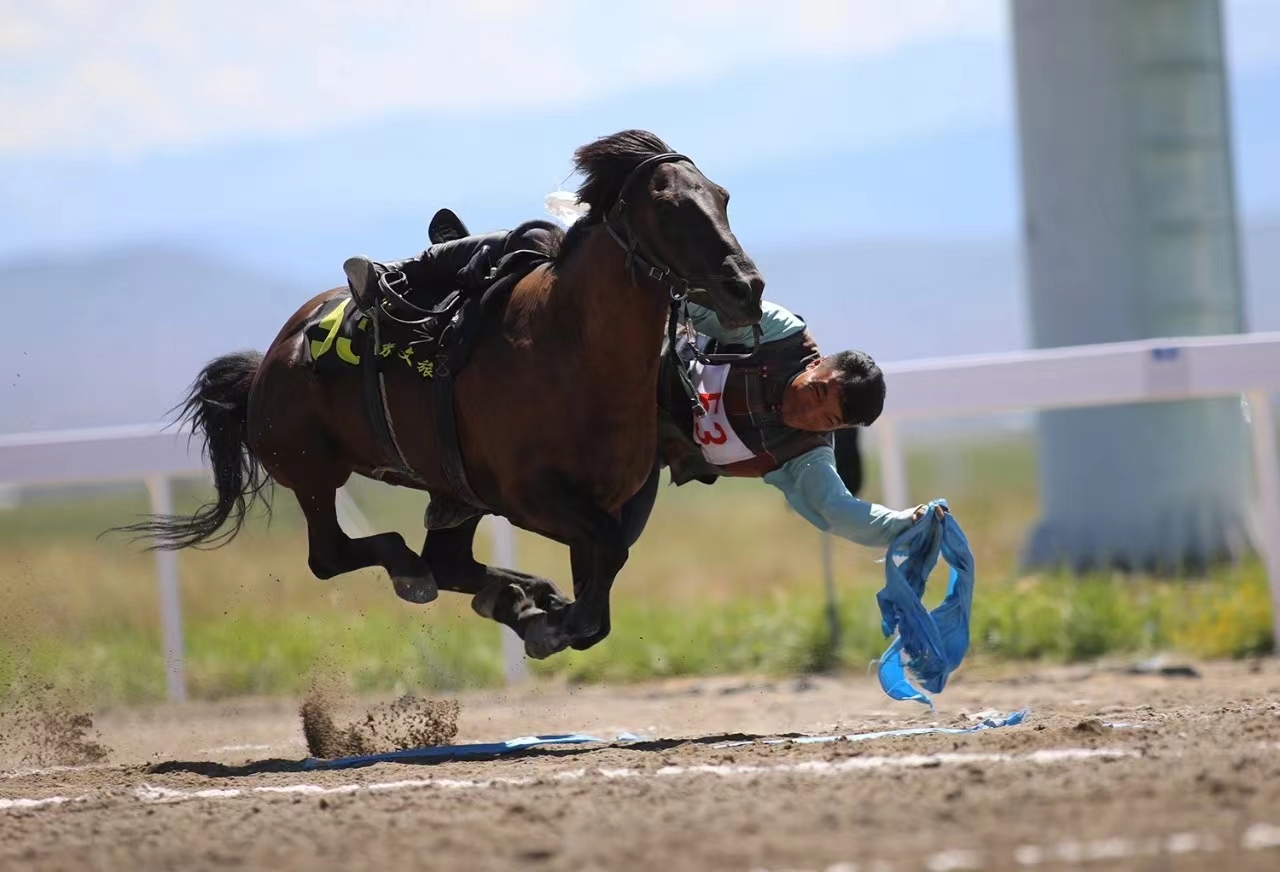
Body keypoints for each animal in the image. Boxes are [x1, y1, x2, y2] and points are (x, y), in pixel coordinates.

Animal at [110, 129, 757, 660]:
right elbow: (598, 576)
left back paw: (508, 593)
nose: (746, 288)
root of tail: (269, 360)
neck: (570, 345)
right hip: (313, 472)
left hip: (452, 491)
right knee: (336, 557)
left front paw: (540, 609)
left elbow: (603, 574)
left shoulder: (618, 497)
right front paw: (550, 618)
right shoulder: (530, 497)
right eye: (669, 207)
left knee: (445, 561)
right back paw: (423, 574)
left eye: (723, 197)